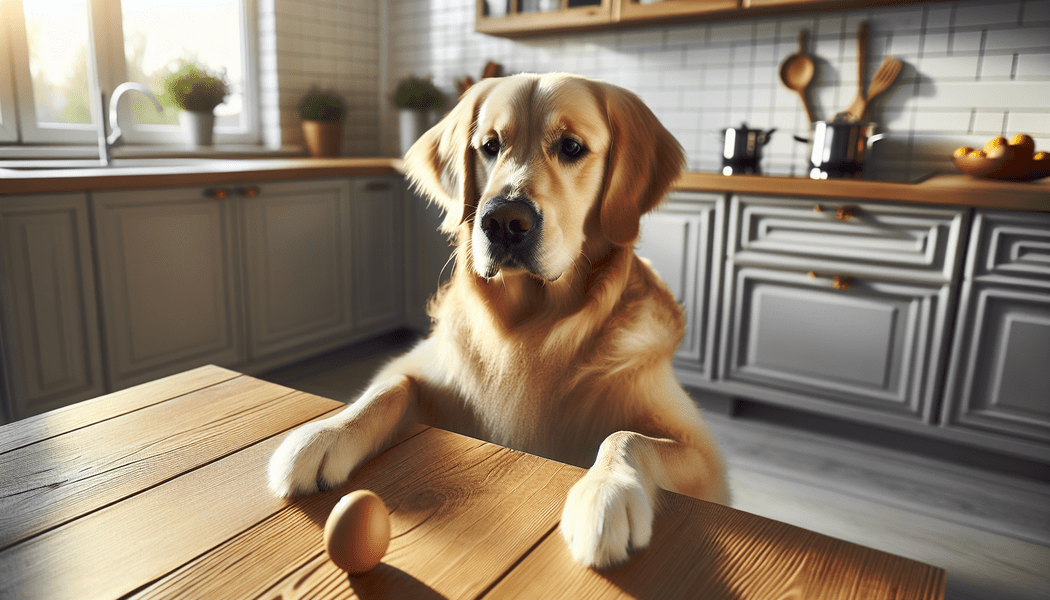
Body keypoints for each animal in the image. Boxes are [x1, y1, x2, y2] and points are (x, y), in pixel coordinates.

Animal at [268, 73, 730, 571]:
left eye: (571, 147)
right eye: (490, 145)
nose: (504, 221)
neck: (532, 326)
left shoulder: (704, 456)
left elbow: (626, 436)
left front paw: (606, 492)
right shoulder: (421, 368)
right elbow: (387, 390)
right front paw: (326, 433)